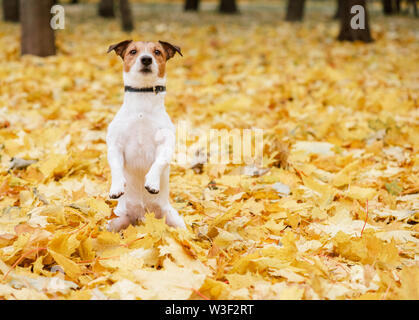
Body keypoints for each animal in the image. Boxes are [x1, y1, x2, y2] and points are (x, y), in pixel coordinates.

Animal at [106, 40, 187, 231]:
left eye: (157, 52)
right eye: (133, 51)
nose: (146, 59)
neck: (143, 99)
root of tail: (140, 218)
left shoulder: (166, 145)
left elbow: (159, 162)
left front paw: (152, 181)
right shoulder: (114, 145)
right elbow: (115, 166)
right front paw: (116, 187)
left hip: (174, 220)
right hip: (114, 221)